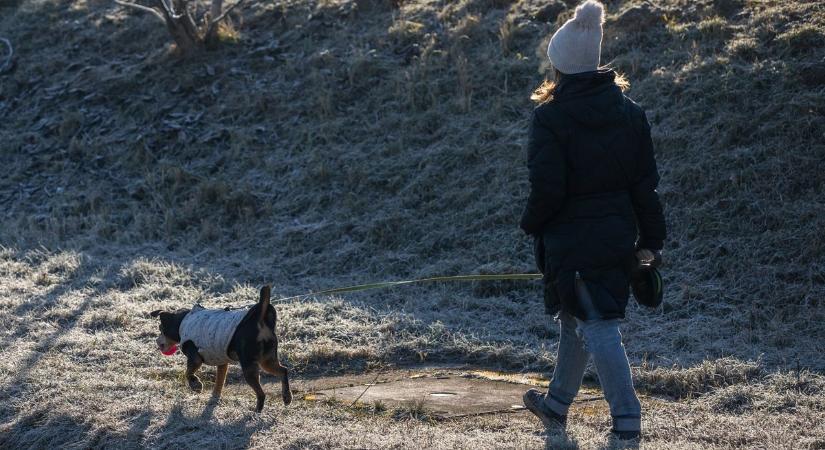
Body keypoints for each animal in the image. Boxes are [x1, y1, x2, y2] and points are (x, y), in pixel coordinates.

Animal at [150, 284, 292, 412]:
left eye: (161, 329)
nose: (157, 341)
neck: (182, 322)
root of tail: (259, 318)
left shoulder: (195, 357)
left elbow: (188, 372)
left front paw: (196, 385)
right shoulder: (222, 361)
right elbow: (219, 381)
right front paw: (214, 398)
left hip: (249, 363)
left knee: (261, 393)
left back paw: (256, 410)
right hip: (267, 359)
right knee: (283, 370)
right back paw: (287, 397)